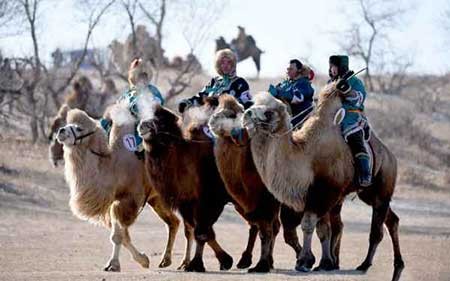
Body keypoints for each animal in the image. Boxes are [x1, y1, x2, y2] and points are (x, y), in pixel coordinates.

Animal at [56, 104, 190, 270]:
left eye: (79, 128)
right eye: (68, 124)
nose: (61, 131)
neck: (113, 166)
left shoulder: (129, 199)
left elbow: (118, 235)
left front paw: (114, 265)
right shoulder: (115, 203)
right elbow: (122, 235)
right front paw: (143, 260)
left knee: (190, 225)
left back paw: (186, 263)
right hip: (157, 199)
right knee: (174, 222)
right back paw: (166, 260)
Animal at [243, 85, 404, 280]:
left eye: (268, 112)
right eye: (253, 104)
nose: (246, 113)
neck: (306, 158)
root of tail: (391, 156)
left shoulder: (324, 195)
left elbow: (309, 225)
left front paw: (305, 261)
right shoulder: (316, 197)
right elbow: (322, 229)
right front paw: (323, 262)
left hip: (381, 188)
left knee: (377, 231)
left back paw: (365, 264)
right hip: (368, 194)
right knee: (392, 220)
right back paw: (397, 267)